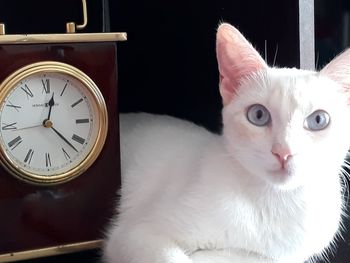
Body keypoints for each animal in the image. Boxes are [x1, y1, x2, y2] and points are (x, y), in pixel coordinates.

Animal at [102, 23, 350, 262]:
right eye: (258, 115)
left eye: (318, 120)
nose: (284, 151)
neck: (273, 203)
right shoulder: (133, 235)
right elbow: (173, 257)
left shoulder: (272, 257)